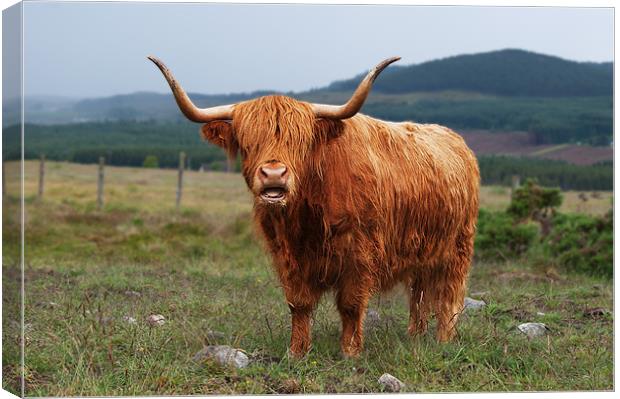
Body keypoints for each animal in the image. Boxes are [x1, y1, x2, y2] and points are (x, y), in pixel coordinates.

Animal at [149, 54, 480, 358]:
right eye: (248, 141)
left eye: (301, 141)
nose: (273, 174)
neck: (306, 214)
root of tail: (456, 140)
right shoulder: (287, 255)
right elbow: (299, 304)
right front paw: (297, 351)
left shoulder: (360, 252)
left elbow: (350, 304)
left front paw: (350, 351)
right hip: (424, 250)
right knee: (419, 293)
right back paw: (415, 335)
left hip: (458, 246)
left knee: (450, 293)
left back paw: (444, 339)